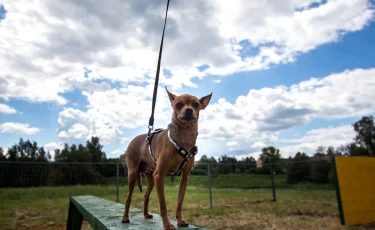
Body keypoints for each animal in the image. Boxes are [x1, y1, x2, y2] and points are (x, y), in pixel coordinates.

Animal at [122, 86, 213, 230]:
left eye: (196, 104)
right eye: (178, 105)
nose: (189, 110)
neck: (185, 136)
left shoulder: (184, 178)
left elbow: (179, 202)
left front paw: (180, 220)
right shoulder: (159, 175)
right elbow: (163, 204)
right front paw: (167, 224)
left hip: (151, 179)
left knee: (146, 196)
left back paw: (146, 214)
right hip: (133, 175)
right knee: (128, 198)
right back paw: (125, 217)